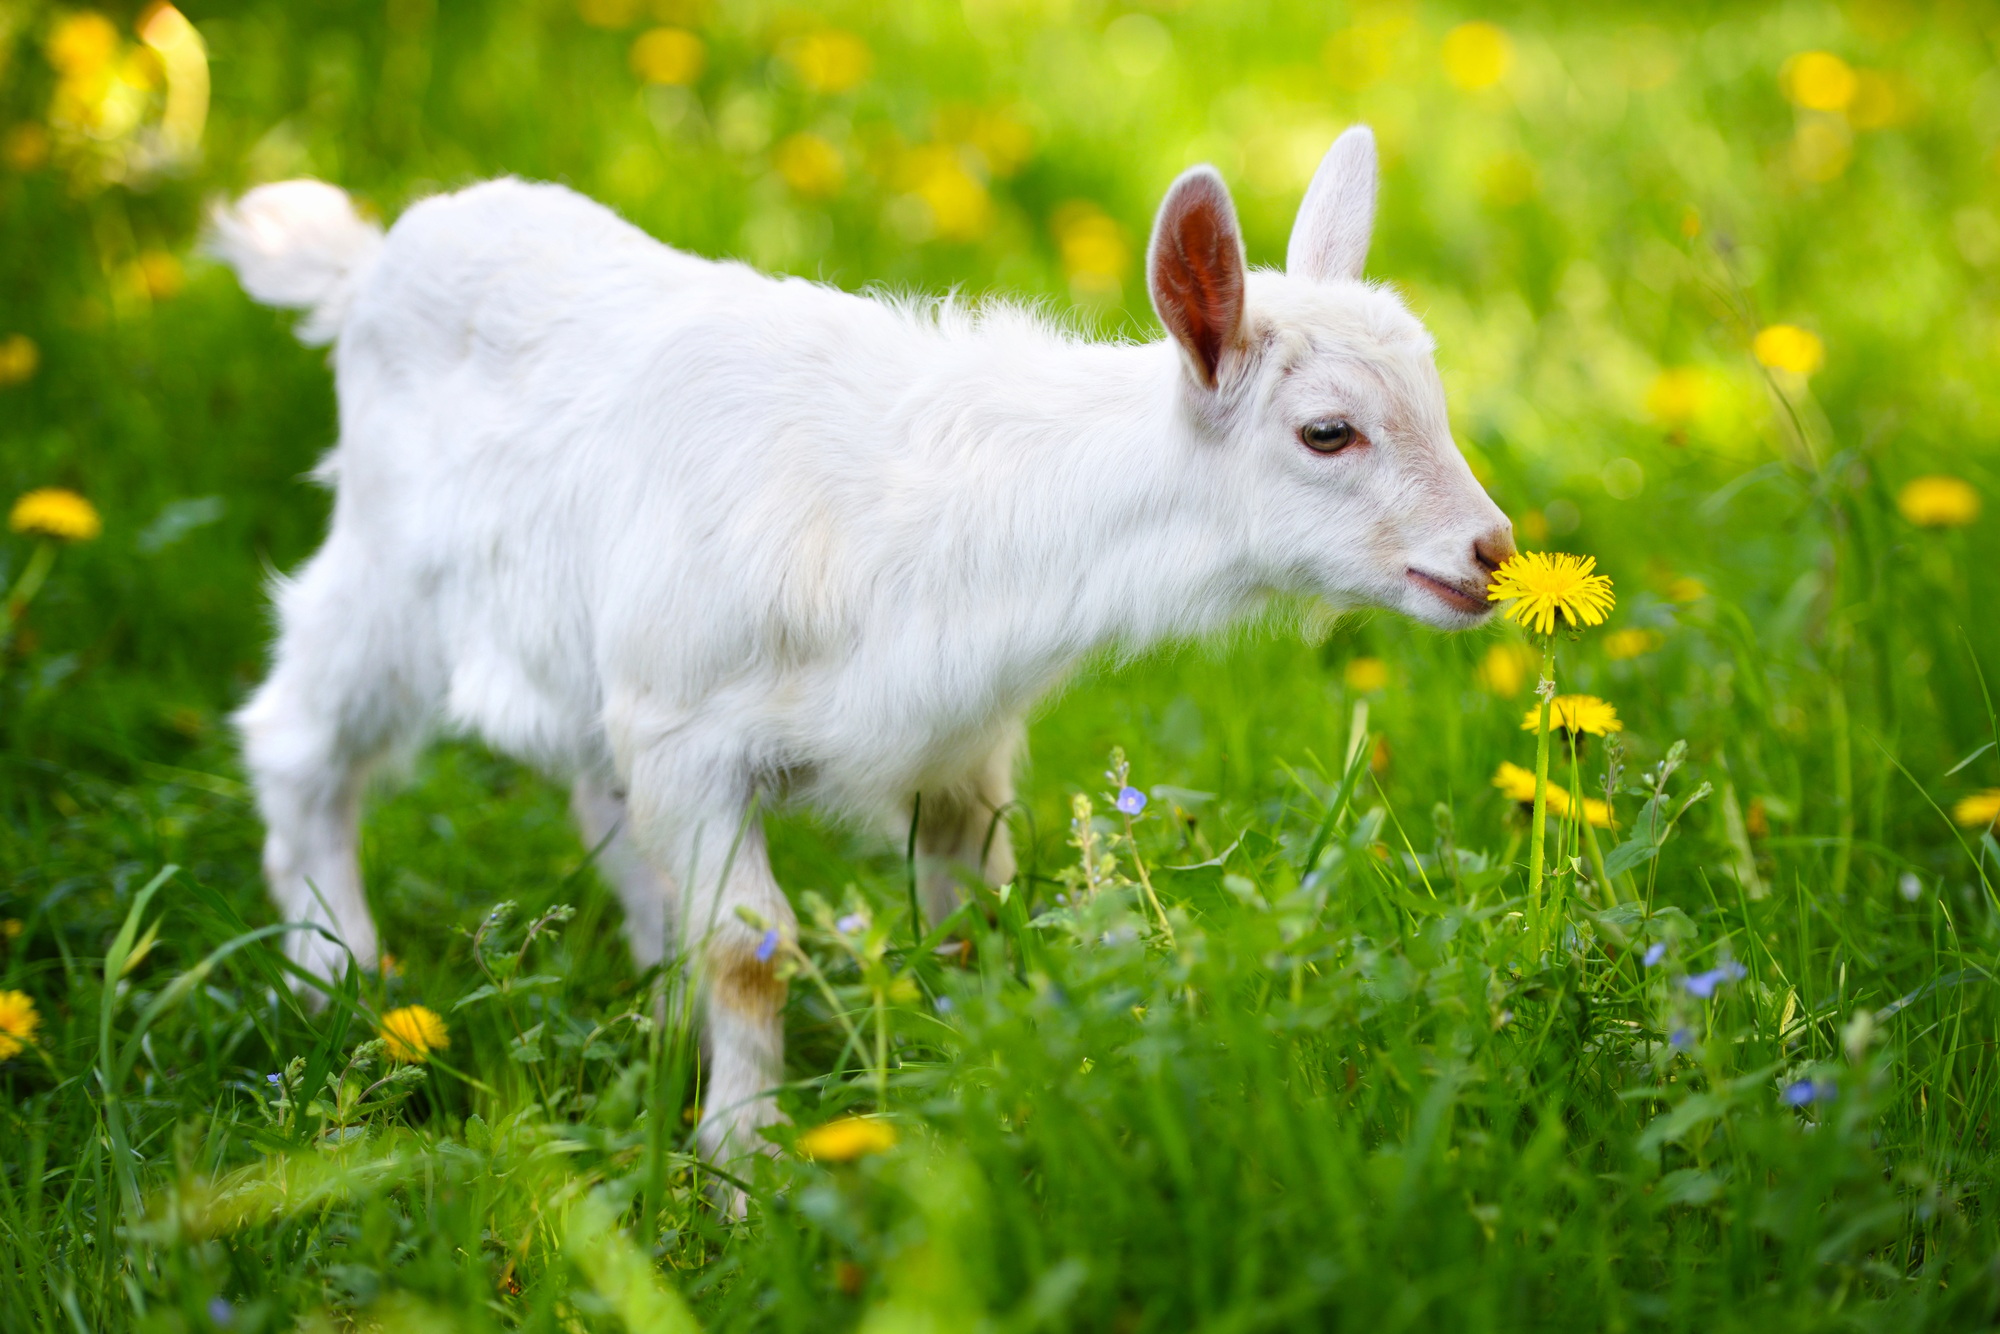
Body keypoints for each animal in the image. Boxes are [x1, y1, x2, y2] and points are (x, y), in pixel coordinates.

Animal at [211, 128, 1504, 1168]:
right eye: (1326, 432)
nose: (1488, 550)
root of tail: (368, 263)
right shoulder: (689, 732)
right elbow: (751, 950)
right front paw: (742, 1163)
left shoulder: (954, 747)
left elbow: (968, 920)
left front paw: (988, 1077)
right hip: (389, 573)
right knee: (298, 735)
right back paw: (334, 975)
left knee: (593, 789)